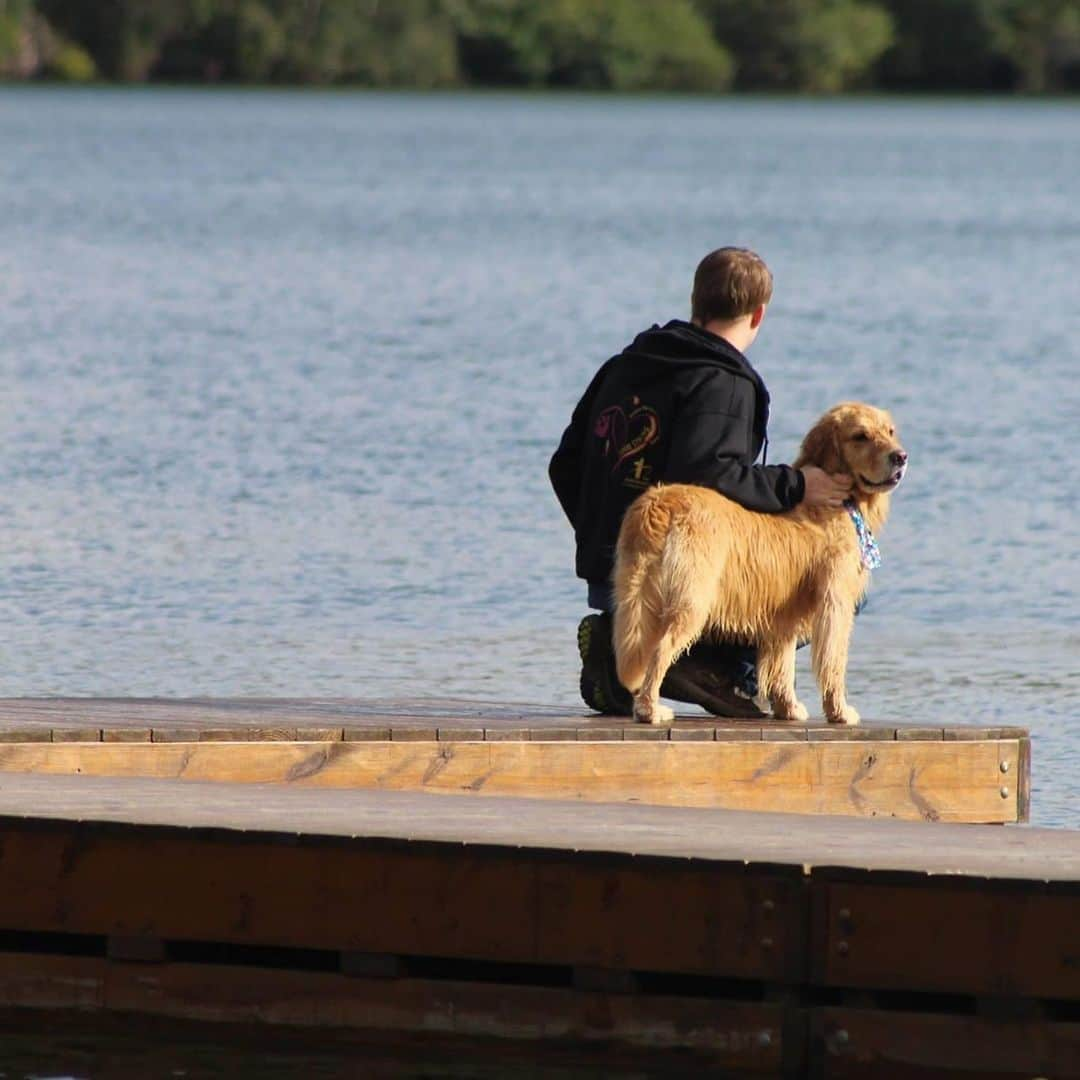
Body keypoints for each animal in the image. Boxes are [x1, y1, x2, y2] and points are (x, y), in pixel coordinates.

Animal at [613, 403, 907, 725]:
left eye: (890, 431)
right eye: (860, 436)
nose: (900, 457)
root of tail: (661, 503)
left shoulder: (785, 611)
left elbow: (783, 663)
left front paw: (788, 708)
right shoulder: (836, 601)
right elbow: (833, 662)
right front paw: (839, 711)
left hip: (634, 595)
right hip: (690, 600)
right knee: (660, 650)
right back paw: (650, 709)